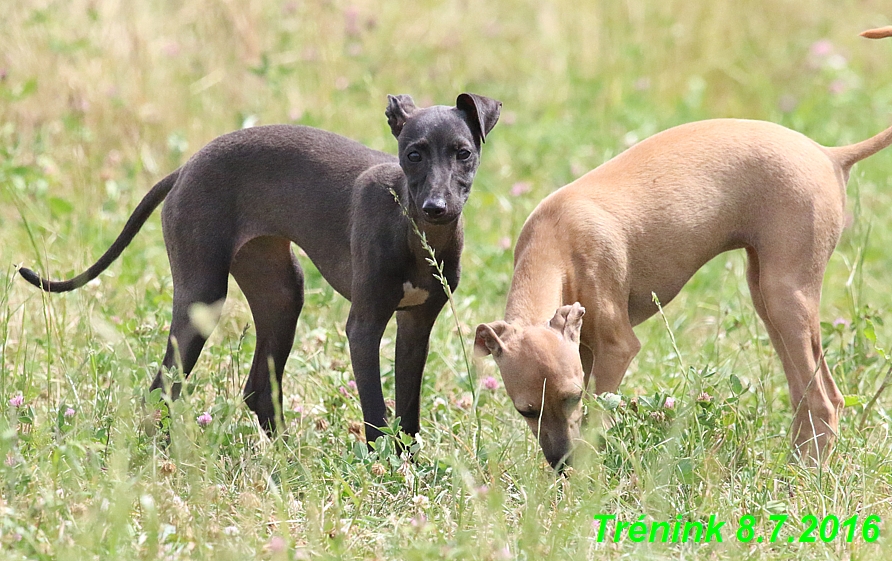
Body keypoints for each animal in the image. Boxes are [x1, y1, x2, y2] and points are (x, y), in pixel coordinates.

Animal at [478, 28, 892, 470]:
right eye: (525, 410)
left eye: (570, 398)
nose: (561, 465)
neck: (556, 239)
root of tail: (830, 155)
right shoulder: (584, 348)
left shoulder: (616, 348)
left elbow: (596, 420)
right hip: (766, 295)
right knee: (807, 393)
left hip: (786, 295)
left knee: (825, 399)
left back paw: (809, 474)